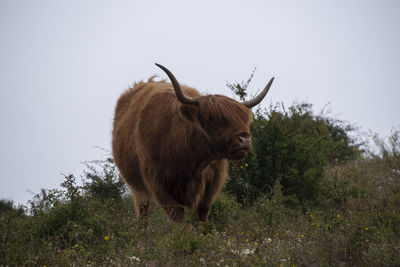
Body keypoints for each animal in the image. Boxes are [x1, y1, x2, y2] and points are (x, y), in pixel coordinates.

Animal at [112, 63, 276, 223]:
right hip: (138, 189)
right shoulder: (158, 185)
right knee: (143, 214)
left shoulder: (211, 187)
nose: (245, 140)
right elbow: (179, 219)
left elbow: (201, 218)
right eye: (213, 118)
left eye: (244, 119)